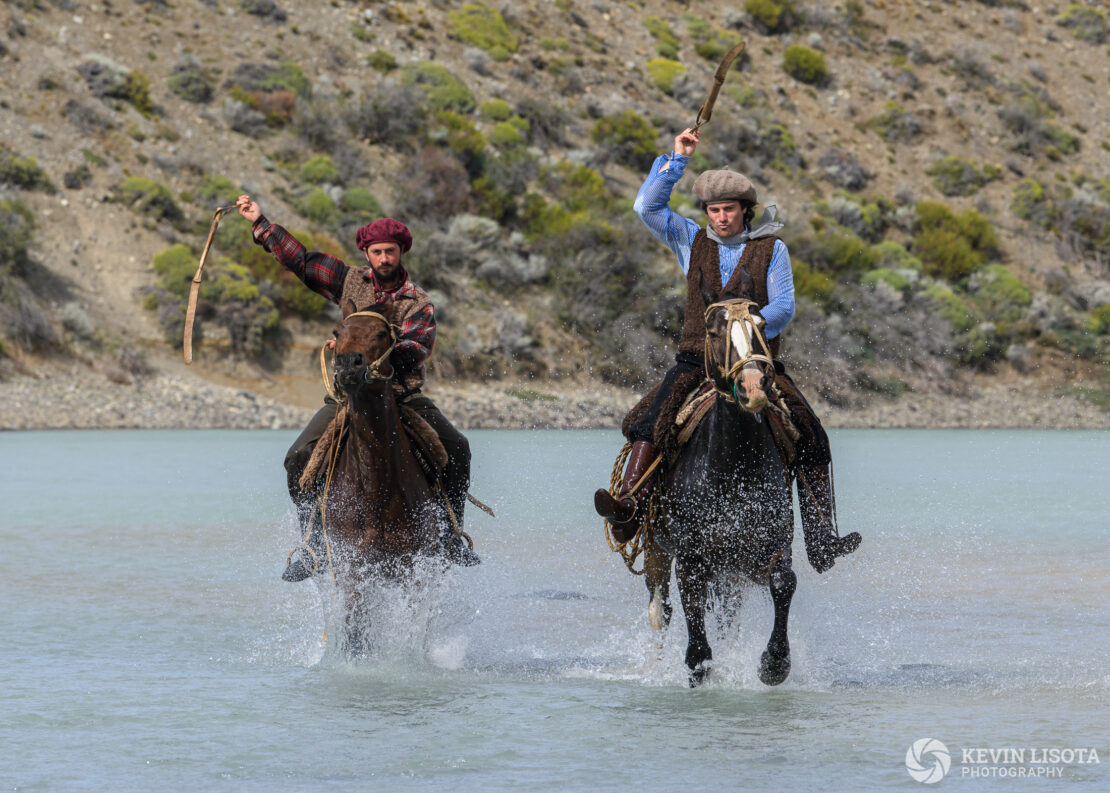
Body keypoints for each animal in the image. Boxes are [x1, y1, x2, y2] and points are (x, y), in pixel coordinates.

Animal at [321, 299, 441, 644]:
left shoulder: (411, 568)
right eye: (338, 332)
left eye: (379, 333)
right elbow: (355, 631)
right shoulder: (352, 568)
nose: (348, 365)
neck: (375, 486)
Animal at [648, 299, 799, 684]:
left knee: (725, 613)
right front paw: (698, 669)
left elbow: (784, 582)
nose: (753, 387)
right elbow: (694, 625)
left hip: (728, 573)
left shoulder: (772, 545)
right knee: (661, 609)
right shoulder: (690, 558)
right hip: (657, 549)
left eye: (761, 325)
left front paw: (774, 663)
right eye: (714, 332)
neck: (734, 465)